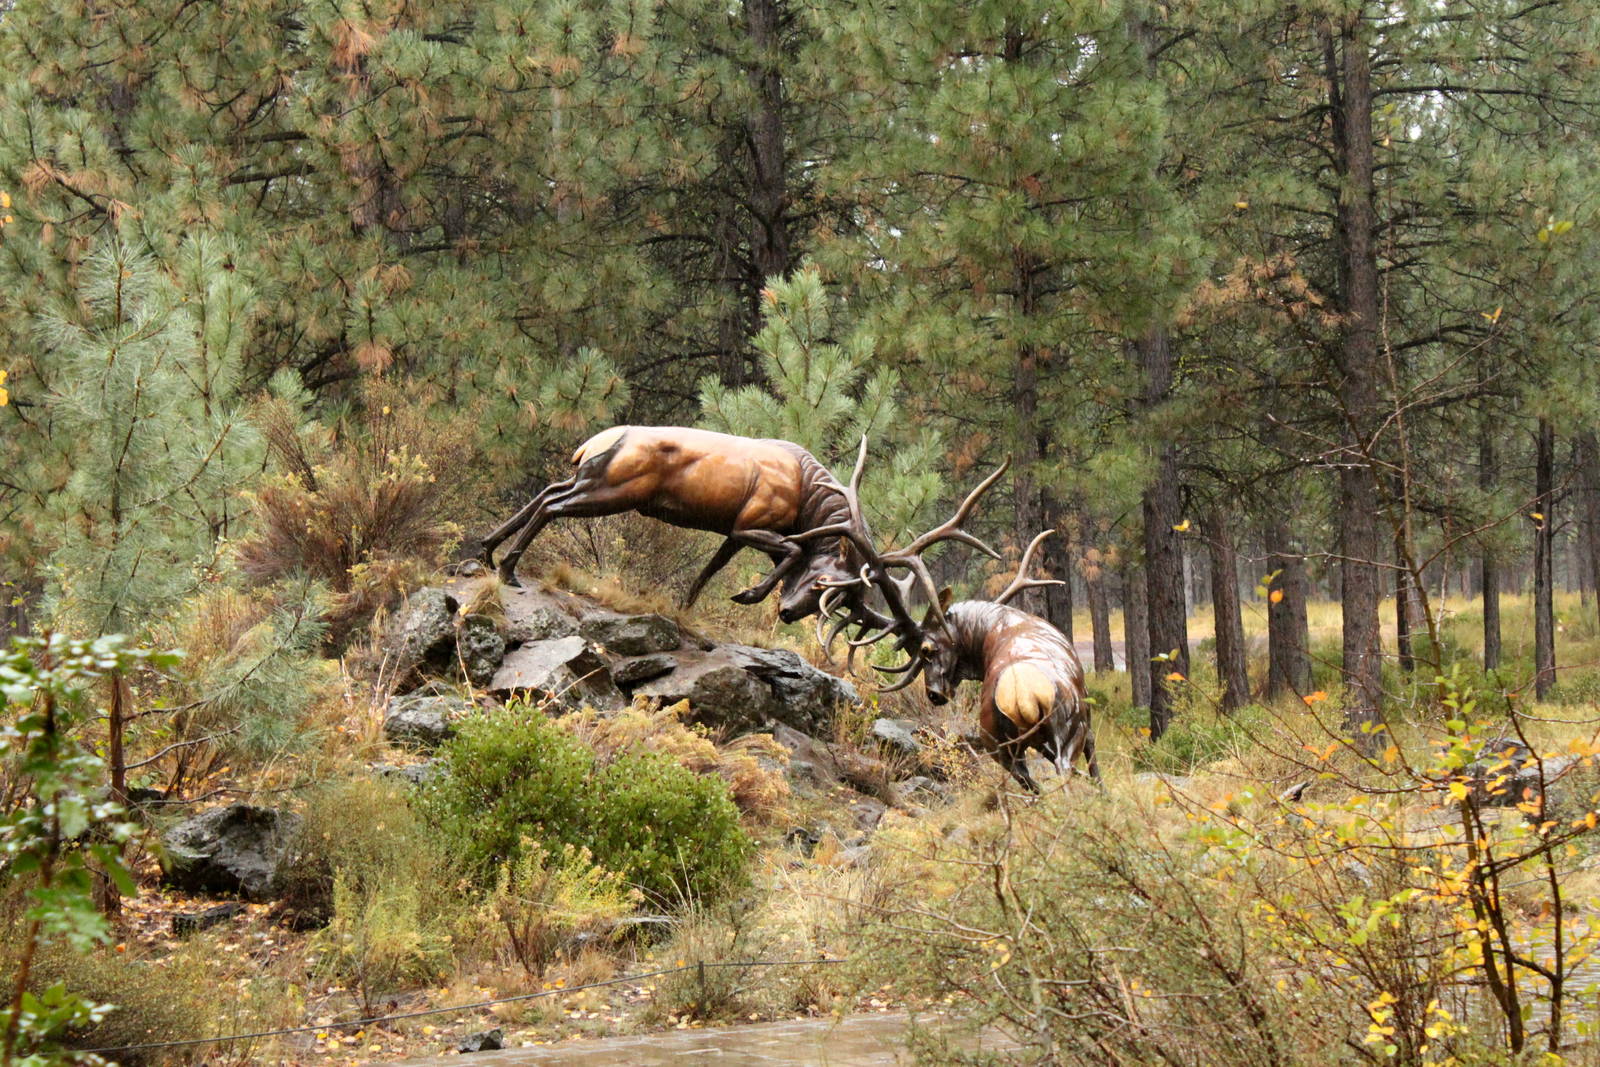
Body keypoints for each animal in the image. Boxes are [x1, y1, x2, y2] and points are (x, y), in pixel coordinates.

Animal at [478, 425, 1007, 634]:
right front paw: (749, 595)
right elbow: (789, 553)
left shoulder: (734, 532)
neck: (806, 501)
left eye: (843, 604)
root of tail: (591, 443)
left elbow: (708, 571)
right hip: (614, 490)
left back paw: (484, 550)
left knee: (547, 490)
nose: (790, 615)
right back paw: (507, 568)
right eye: (825, 585)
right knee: (552, 505)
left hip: (592, 479)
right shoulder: (754, 522)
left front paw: (686, 608)